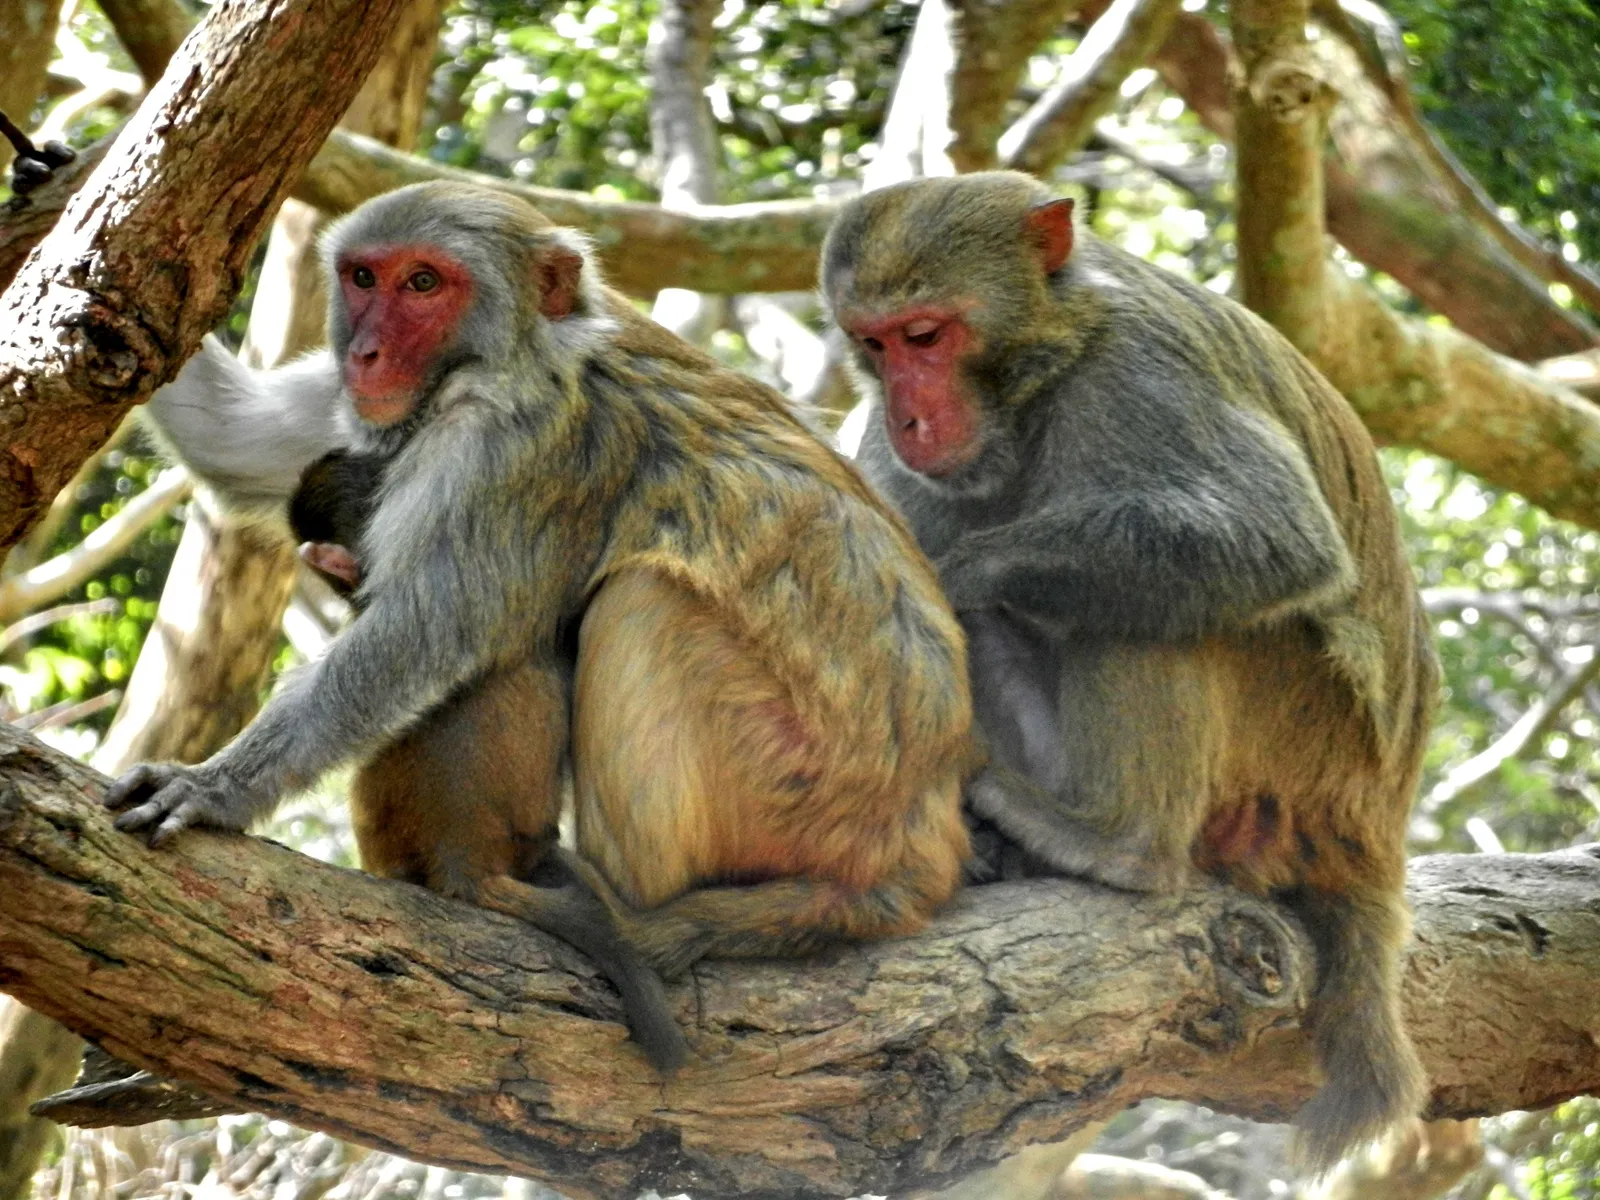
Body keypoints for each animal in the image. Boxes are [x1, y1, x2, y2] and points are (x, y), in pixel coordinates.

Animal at [108, 181, 974, 1069]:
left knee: (639, 601)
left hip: (788, 793)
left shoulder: (507, 447)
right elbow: (235, 439)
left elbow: (419, 633)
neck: (511, 355)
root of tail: (913, 852)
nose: (368, 355)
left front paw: (217, 787)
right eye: (364, 277)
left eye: (425, 283)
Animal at [820, 171, 1438, 1174]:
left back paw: (1117, 841)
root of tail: (1381, 819)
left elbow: (1277, 538)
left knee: (1160, 607)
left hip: (1315, 739)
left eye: (927, 335)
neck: (1049, 366)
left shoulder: (1142, 376)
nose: (910, 416)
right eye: (874, 343)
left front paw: (957, 570)